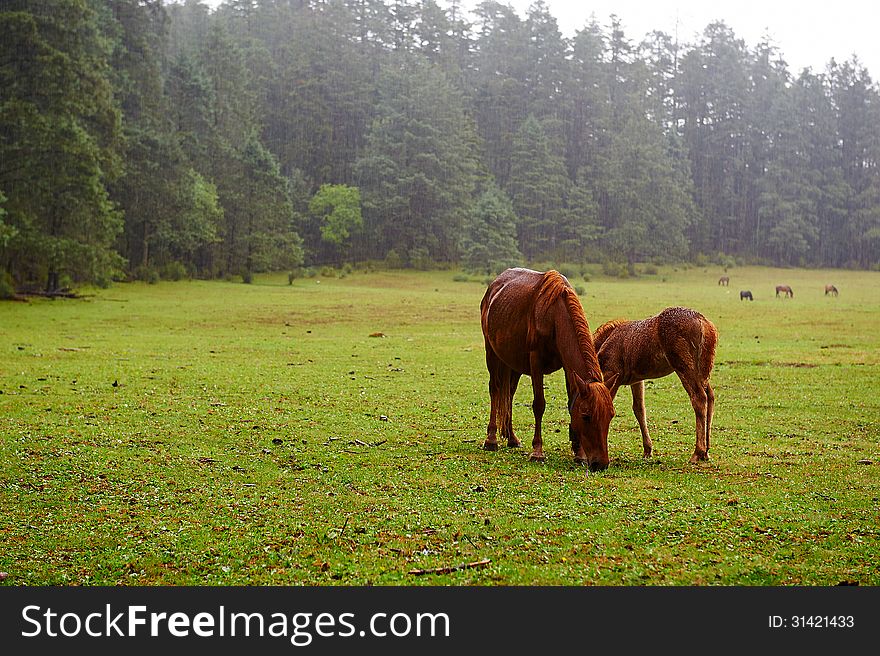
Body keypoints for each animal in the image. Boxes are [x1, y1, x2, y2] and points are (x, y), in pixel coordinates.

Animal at [478, 270, 616, 468]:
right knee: (495, 390)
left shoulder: (567, 367)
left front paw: (579, 453)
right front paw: (537, 451)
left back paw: (512, 438)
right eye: (586, 416)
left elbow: (571, 402)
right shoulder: (536, 362)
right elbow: (539, 404)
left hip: (514, 362)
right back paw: (491, 439)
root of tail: (494, 286)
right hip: (491, 352)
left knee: (509, 393)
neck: (554, 317)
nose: (601, 464)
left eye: (611, 416)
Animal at [592, 308, 720, 466]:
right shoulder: (636, 380)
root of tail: (704, 323)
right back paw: (706, 451)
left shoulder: (612, 374)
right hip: (703, 372)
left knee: (699, 398)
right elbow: (639, 409)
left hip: (684, 368)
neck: (606, 339)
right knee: (711, 397)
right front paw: (647, 450)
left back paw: (698, 452)